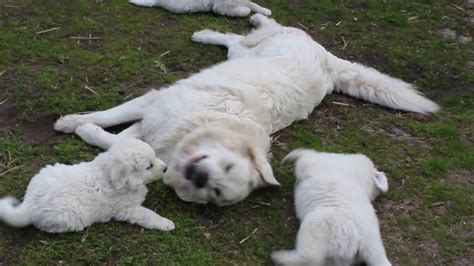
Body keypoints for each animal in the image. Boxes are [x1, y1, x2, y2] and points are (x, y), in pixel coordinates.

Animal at [0, 123, 175, 233]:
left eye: (155, 156)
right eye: (149, 166)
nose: (165, 168)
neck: (109, 175)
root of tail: (29, 204)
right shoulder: (127, 209)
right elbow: (147, 214)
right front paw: (166, 223)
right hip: (69, 217)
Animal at [53, 14, 438, 206]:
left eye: (214, 195)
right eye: (225, 166)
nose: (199, 177)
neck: (216, 118)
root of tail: (329, 59)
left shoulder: (155, 124)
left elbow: (123, 140)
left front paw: (86, 132)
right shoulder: (156, 102)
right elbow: (110, 117)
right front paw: (72, 122)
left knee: (236, 41)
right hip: (252, 50)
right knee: (239, 37)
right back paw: (219, 29)